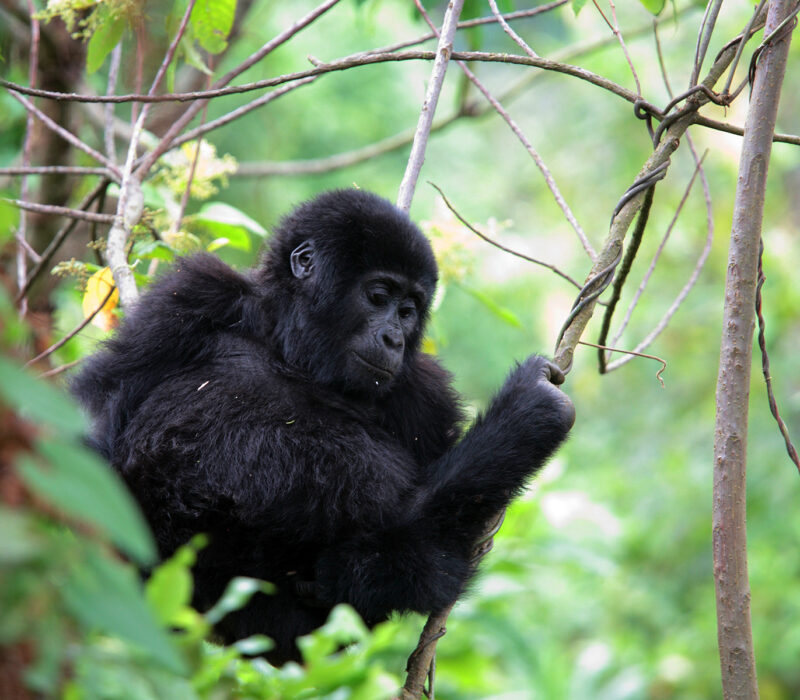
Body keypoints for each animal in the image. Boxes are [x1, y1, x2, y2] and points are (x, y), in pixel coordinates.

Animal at [73, 189, 576, 664]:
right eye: (379, 296)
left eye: (410, 310)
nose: (394, 339)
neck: (295, 352)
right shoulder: (193, 295)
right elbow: (103, 400)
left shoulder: (425, 395)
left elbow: (436, 555)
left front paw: (528, 416)